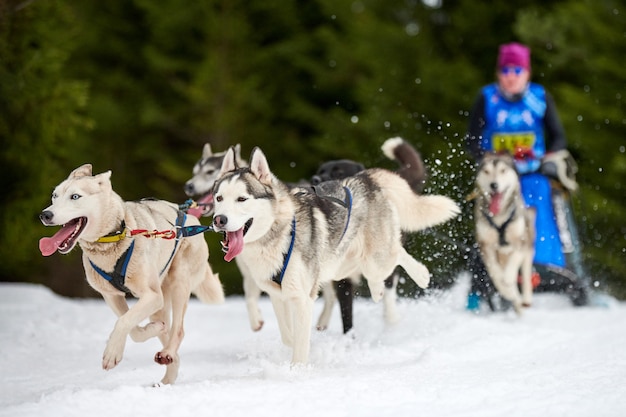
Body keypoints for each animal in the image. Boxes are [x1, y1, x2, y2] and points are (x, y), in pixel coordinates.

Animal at [39, 162, 224, 384]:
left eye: (75, 196)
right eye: (55, 196)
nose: (45, 215)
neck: (114, 236)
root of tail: (189, 216)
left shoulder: (151, 296)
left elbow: (124, 321)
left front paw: (111, 353)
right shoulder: (112, 296)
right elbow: (133, 328)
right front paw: (151, 330)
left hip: (178, 282)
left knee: (178, 330)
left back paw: (168, 353)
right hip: (159, 305)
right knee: (168, 333)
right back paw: (166, 375)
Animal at [210, 146, 458, 364]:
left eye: (242, 199)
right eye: (219, 198)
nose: (219, 220)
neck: (278, 235)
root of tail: (365, 178)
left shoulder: (301, 296)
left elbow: (299, 342)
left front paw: (297, 371)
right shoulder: (278, 294)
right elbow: (289, 335)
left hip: (374, 259)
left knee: (396, 253)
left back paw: (420, 275)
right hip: (340, 266)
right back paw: (377, 289)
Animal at [472, 152, 536, 312]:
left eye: (503, 171)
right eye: (486, 171)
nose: (493, 185)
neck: (499, 217)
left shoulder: (520, 241)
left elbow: (514, 262)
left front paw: (507, 278)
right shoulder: (485, 246)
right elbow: (494, 272)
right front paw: (505, 287)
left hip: (529, 246)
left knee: (525, 273)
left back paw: (525, 298)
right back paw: (514, 298)